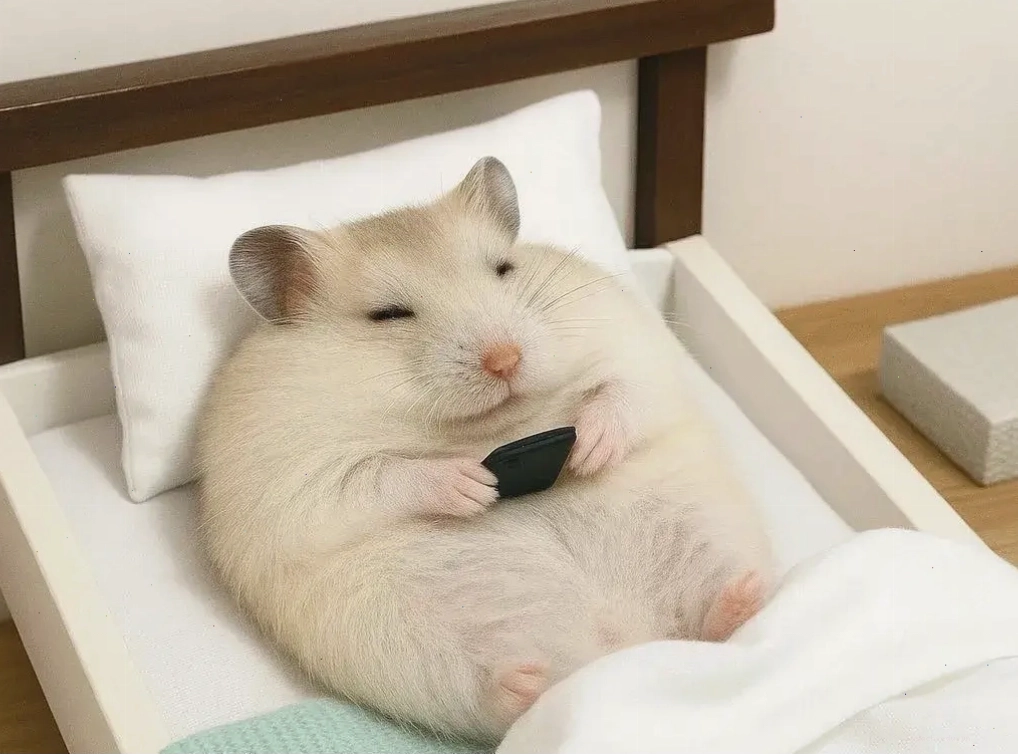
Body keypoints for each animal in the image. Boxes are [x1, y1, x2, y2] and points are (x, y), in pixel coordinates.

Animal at [195, 156, 774, 743]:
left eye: (503, 268)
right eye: (389, 315)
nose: (505, 359)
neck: (493, 427)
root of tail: (625, 644)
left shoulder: (634, 347)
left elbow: (623, 391)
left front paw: (589, 450)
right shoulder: (296, 476)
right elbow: (379, 476)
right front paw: (474, 486)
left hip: (706, 527)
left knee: (716, 618)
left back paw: (743, 597)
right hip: (399, 637)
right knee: (488, 695)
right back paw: (523, 684)